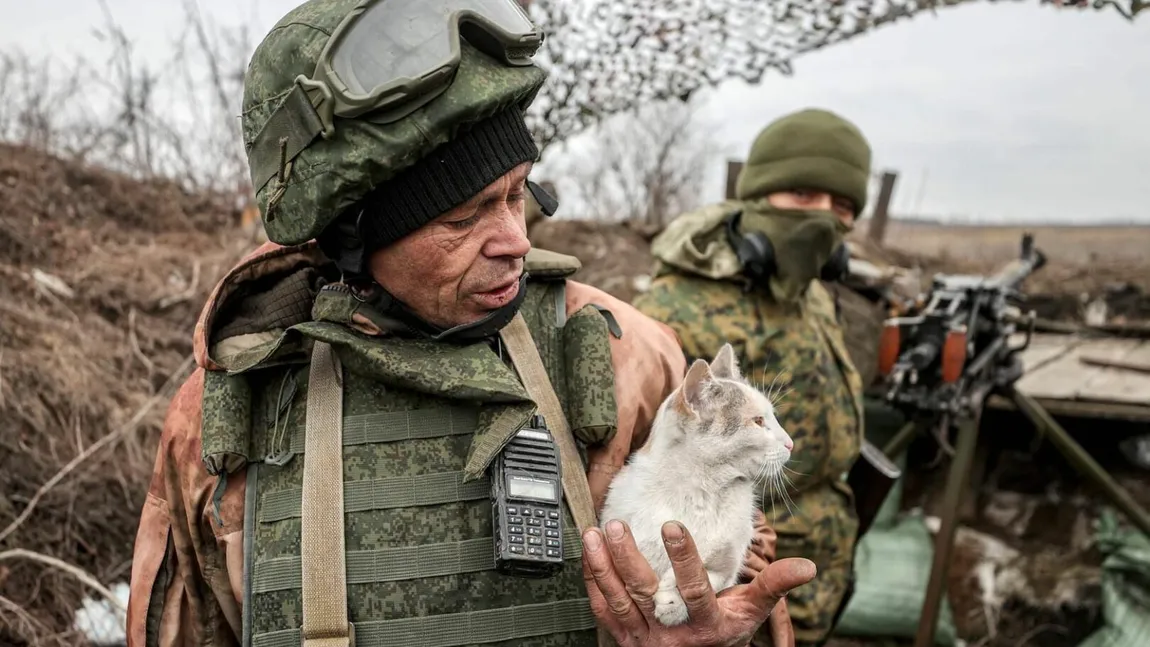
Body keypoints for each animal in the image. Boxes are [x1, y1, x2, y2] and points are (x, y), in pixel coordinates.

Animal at [598, 344, 795, 629]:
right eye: (758, 421)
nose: (790, 443)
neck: (703, 493)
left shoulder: (729, 564)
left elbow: (712, 576)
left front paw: (673, 599)